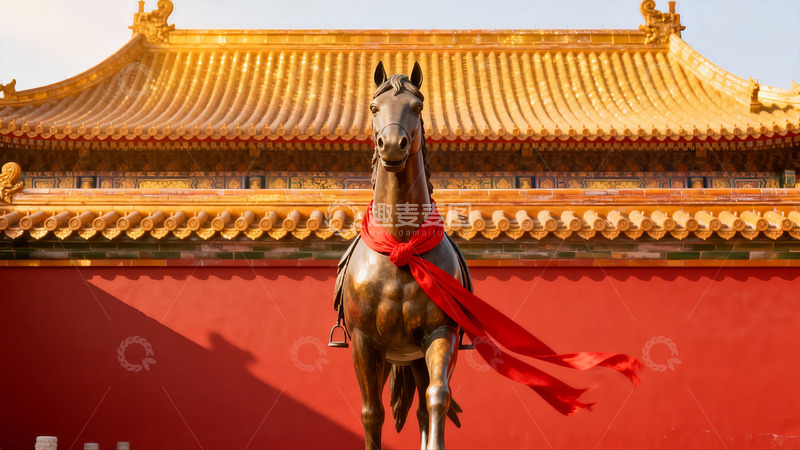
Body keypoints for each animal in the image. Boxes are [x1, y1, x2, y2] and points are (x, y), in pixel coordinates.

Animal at [333, 61, 468, 450]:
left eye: (417, 107)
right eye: (374, 108)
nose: (392, 145)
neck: (399, 248)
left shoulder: (441, 331)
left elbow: (438, 398)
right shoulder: (364, 343)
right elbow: (371, 412)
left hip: (416, 356)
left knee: (425, 405)